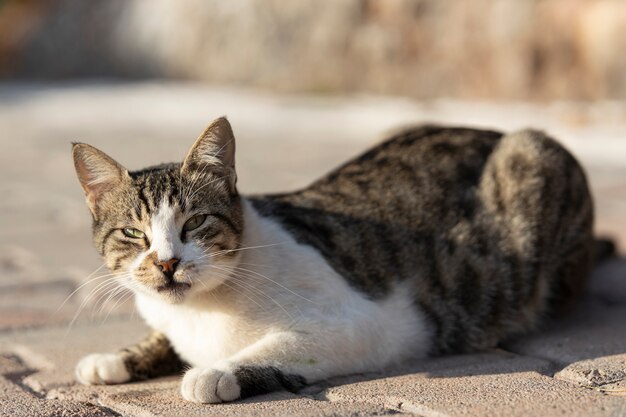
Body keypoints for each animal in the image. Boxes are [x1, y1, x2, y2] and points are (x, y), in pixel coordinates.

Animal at [72, 115, 588, 402]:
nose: (166, 263)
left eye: (195, 223)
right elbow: (160, 339)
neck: (200, 311)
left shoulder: (367, 325)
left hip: (532, 156)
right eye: (133, 233)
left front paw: (217, 373)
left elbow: (278, 347)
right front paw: (114, 359)